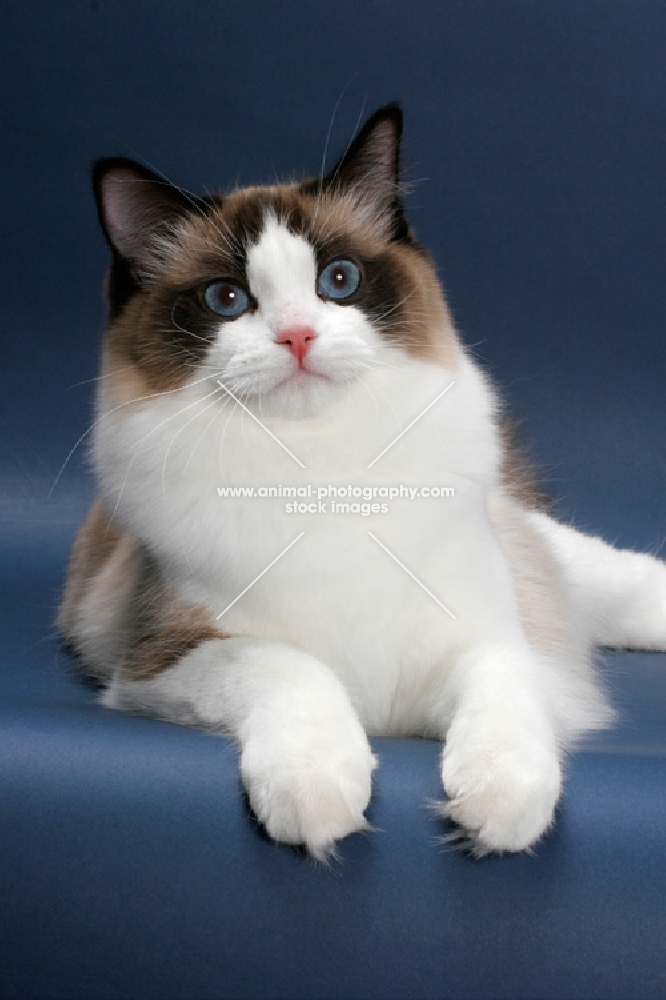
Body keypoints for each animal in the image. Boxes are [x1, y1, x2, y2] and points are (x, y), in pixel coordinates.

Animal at [58, 103, 664, 860]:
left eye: (338, 281)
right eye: (227, 299)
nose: (296, 337)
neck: (323, 472)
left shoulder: (482, 639)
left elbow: (503, 698)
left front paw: (496, 807)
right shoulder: (163, 658)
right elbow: (288, 668)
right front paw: (317, 793)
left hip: (555, 564)